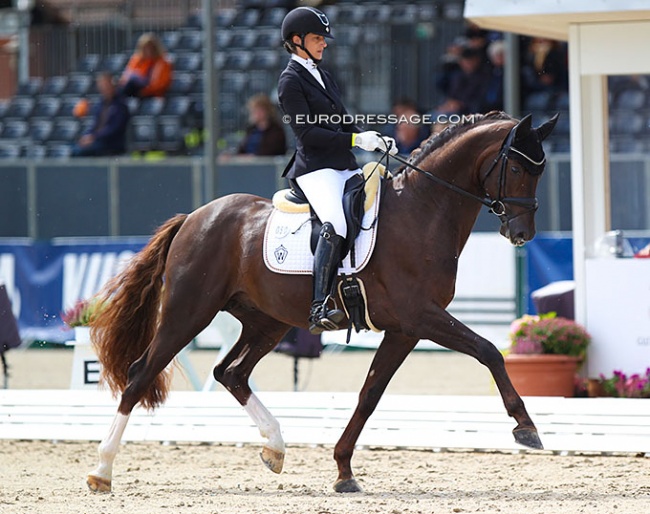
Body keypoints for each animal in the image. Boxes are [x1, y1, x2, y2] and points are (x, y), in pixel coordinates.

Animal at [86, 111, 556, 492]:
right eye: (517, 166)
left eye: (542, 170)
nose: (522, 234)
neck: (423, 210)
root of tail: (195, 217)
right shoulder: (422, 316)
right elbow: (489, 350)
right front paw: (526, 428)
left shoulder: (404, 329)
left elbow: (370, 394)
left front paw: (344, 470)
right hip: (188, 312)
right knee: (141, 374)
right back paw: (102, 471)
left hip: (267, 322)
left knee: (230, 373)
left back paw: (275, 448)